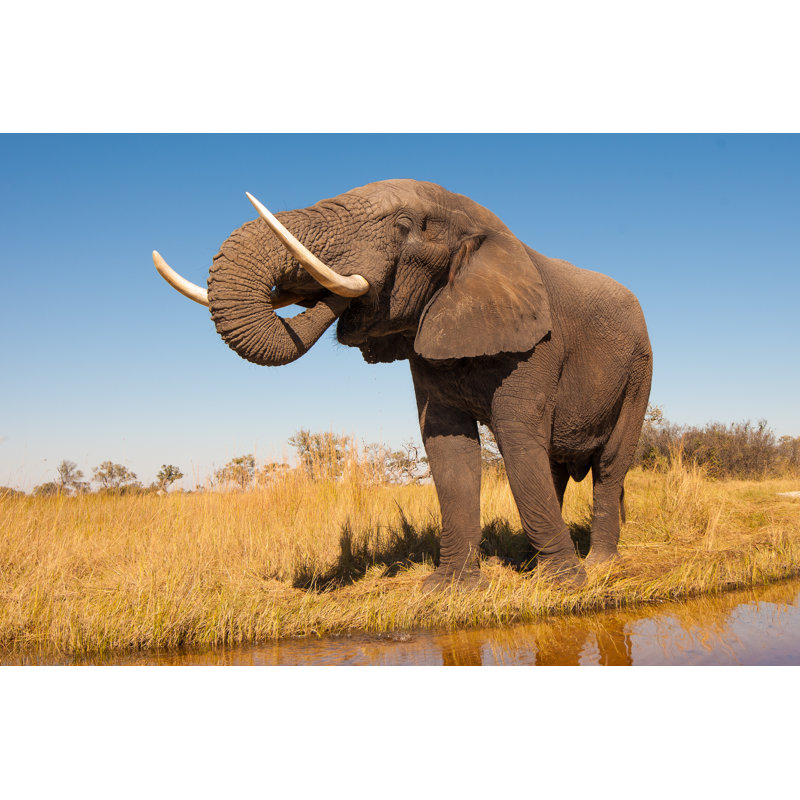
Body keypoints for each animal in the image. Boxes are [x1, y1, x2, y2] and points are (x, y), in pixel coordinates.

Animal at [153, 179, 652, 590]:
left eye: (404, 225)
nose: (342, 298)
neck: (482, 226)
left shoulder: (538, 343)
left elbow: (516, 439)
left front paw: (565, 586)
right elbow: (448, 446)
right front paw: (448, 589)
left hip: (639, 371)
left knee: (609, 464)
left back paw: (599, 565)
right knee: (554, 465)